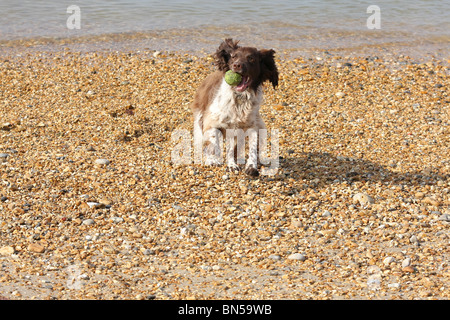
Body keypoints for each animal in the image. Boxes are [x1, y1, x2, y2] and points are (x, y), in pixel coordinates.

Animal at [190, 39, 278, 178]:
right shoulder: (212, 122)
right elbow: (215, 143)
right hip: (200, 117)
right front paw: (219, 161)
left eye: (251, 58)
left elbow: (252, 147)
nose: (236, 65)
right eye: (233, 56)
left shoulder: (252, 126)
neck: (239, 99)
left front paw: (251, 167)